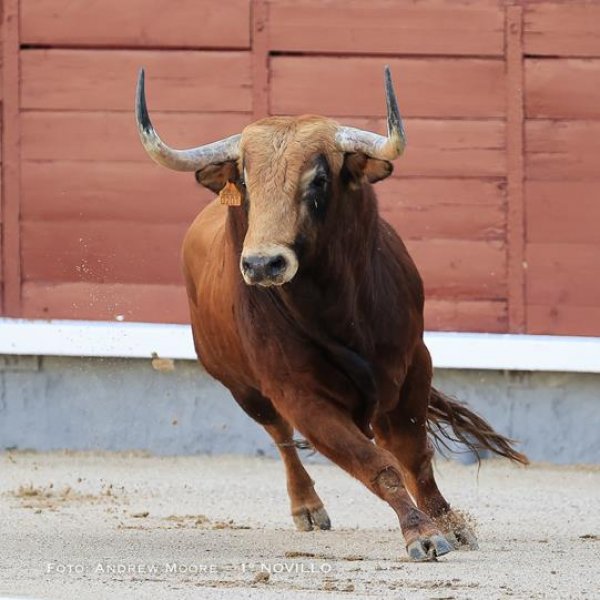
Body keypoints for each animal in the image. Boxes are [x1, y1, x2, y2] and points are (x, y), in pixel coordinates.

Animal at [135, 68, 524, 560]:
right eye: (244, 180)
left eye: (318, 179)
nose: (262, 264)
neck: (340, 307)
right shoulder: (300, 396)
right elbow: (376, 464)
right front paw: (420, 532)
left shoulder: (414, 365)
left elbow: (413, 456)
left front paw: (449, 523)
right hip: (242, 388)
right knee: (281, 436)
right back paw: (306, 506)